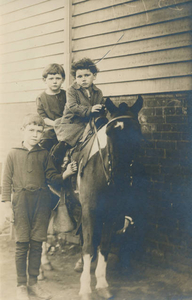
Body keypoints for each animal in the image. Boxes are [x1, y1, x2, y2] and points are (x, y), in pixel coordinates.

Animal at [72, 97, 144, 298]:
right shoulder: (89, 210)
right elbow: (89, 246)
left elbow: (104, 245)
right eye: (109, 133)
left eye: (137, 133)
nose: (119, 177)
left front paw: (102, 284)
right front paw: (85, 288)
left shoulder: (112, 212)